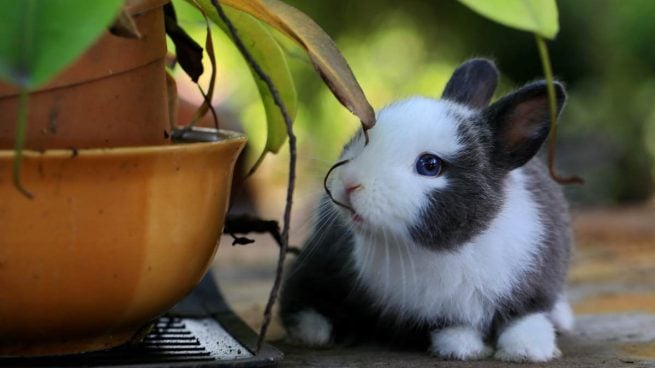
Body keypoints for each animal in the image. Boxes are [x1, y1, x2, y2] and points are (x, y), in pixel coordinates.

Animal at [282, 59, 576, 362]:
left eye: (430, 165)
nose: (349, 183)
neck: (452, 249)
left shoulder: (536, 285)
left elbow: (526, 318)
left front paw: (528, 351)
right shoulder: (436, 313)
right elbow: (452, 327)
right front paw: (464, 349)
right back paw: (313, 333)